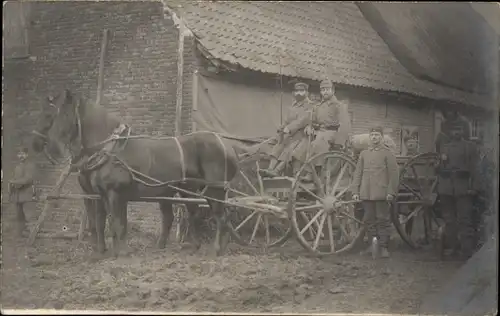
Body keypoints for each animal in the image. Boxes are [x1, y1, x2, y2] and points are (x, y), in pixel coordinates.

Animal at [32, 89, 239, 256]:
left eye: (51, 115)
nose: (36, 143)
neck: (108, 149)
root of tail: (226, 146)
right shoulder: (101, 195)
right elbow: (102, 222)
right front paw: (104, 251)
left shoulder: (114, 193)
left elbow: (116, 222)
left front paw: (121, 252)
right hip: (187, 190)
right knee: (192, 215)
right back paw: (190, 246)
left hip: (214, 190)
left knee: (221, 216)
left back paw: (216, 249)